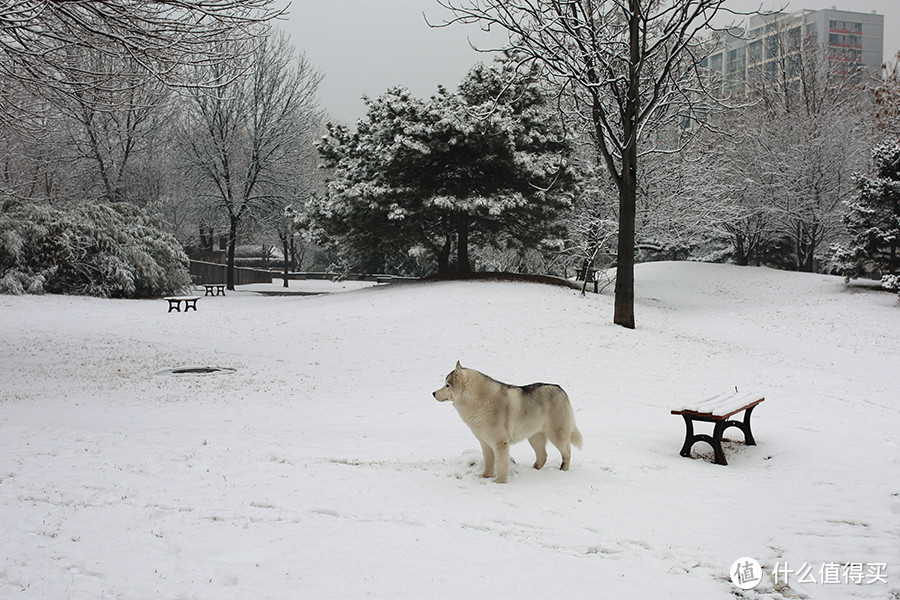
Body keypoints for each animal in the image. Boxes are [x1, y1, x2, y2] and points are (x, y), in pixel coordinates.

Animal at [434, 360, 584, 482]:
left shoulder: (500, 444)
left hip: (556, 435)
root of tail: (561, 389)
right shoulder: (485, 444)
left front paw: (499, 483)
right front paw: (484, 477)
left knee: (567, 452)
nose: (433, 393)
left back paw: (563, 470)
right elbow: (489, 465)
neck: (478, 401)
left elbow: (501, 466)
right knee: (543, 456)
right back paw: (533, 470)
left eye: (447, 385)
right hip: (534, 438)